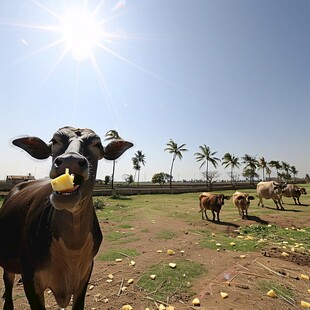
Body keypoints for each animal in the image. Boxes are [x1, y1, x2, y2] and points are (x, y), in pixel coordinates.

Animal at [0, 126, 132, 310]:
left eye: (97, 144)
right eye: (54, 141)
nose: (70, 160)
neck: (72, 250)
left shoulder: (85, 274)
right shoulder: (30, 279)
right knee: (8, 282)